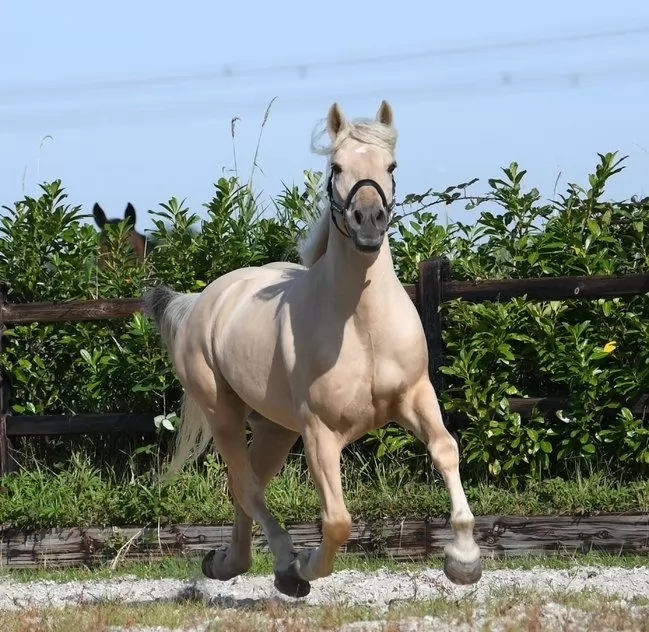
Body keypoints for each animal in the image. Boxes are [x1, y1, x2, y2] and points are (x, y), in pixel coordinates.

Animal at [141, 100, 482, 598]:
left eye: (391, 166)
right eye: (335, 167)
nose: (368, 222)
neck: (361, 324)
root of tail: (203, 301)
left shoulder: (416, 396)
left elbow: (445, 449)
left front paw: (463, 560)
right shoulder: (320, 433)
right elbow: (337, 521)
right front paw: (305, 567)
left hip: (274, 427)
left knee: (244, 489)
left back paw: (227, 562)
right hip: (224, 414)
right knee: (247, 487)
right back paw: (285, 567)